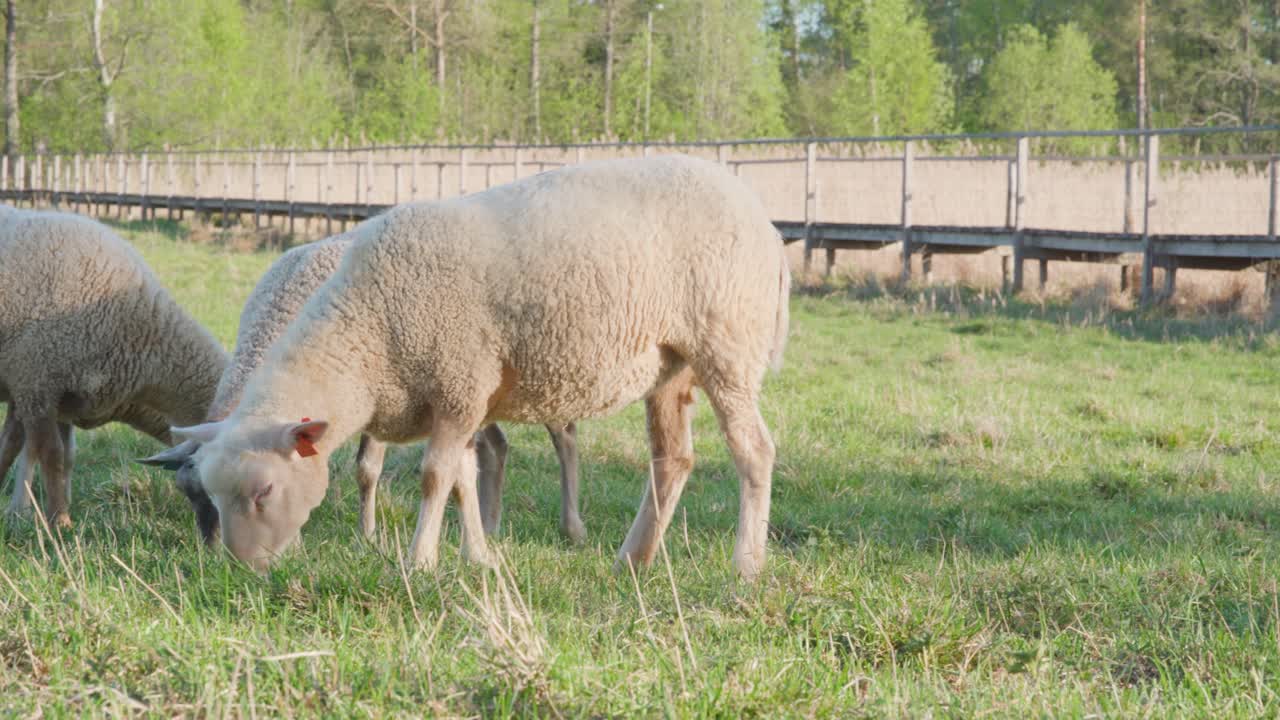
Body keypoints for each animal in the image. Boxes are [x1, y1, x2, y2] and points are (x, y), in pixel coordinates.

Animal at [140, 232, 585, 544]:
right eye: (192, 494)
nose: (216, 556)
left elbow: (366, 470)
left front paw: (367, 536)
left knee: (564, 436)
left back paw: (572, 527)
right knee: (496, 444)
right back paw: (489, 528)